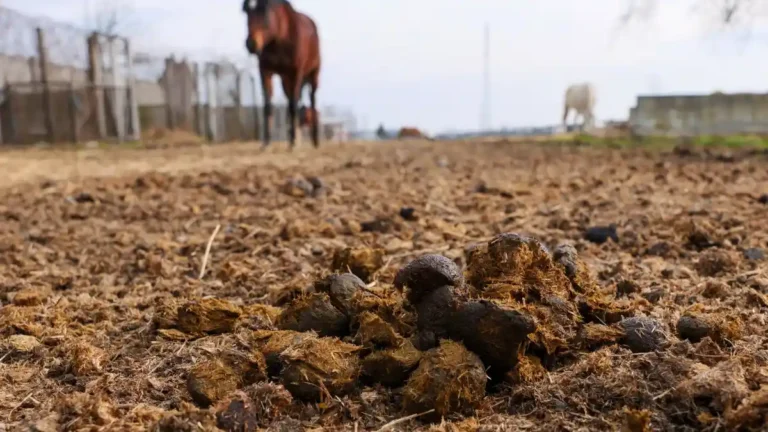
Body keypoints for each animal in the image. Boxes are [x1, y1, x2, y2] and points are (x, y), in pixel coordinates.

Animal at [243, 0, 320, 148]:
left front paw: (293, 142)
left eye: (265, 14)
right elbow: (268, 105)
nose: (251, 44)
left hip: (313, 74)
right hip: (285, 80)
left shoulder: (296, 73)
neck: (280, 38)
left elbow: (293, 105)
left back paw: (314, 140)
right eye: (248, 13)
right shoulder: (265, 71)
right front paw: (266, 143)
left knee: (312, 100)